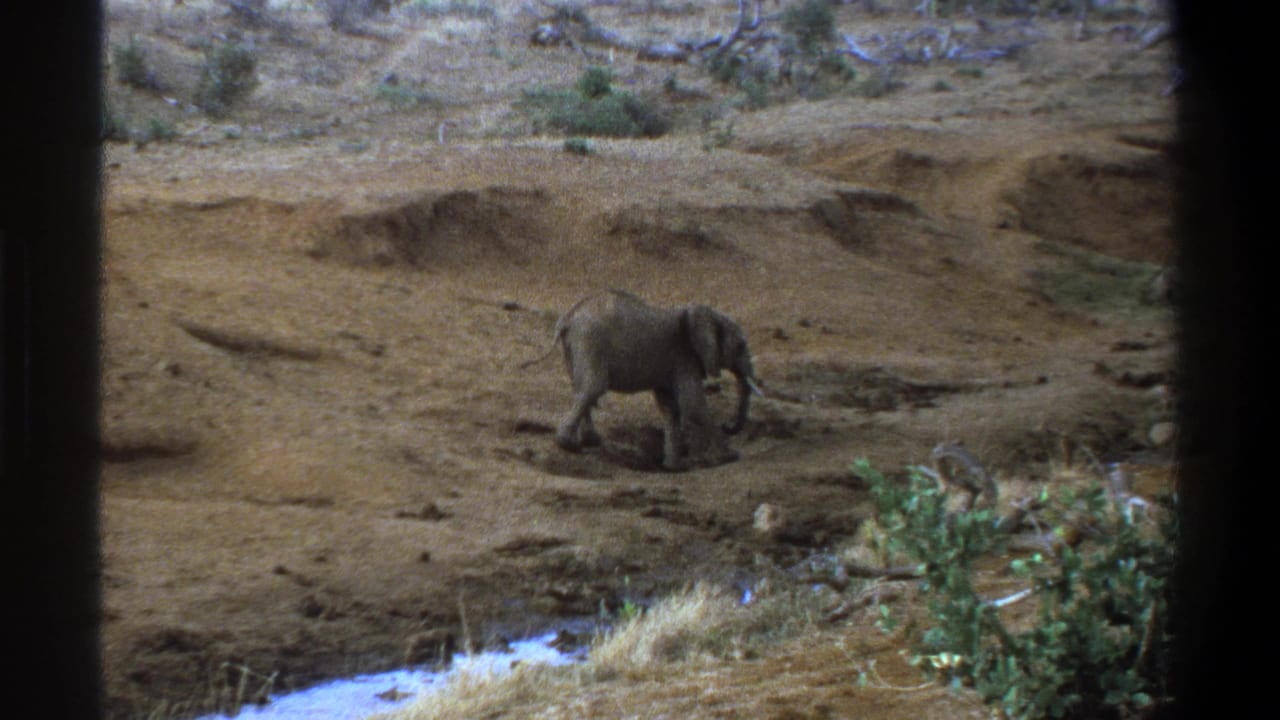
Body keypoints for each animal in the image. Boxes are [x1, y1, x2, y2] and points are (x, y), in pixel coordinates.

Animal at [525, 289, 762, 471]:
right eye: (740, 346)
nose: (727, 425)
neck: (705, 313)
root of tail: (568, 318)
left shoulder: (673, 363)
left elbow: (670, 408)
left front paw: (673, 468)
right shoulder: (684, 357)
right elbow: (693, 405)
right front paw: (729, 456)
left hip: (574, 347)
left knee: (581, 388)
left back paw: (588, 441)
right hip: (590, 340)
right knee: (593, 388)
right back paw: (569, 446)